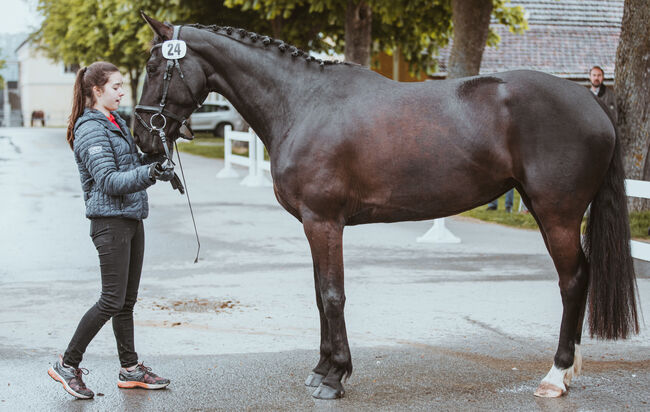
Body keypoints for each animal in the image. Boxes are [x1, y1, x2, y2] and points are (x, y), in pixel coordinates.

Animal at [133, 13, 636, 400]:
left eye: (156, 67)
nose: (142, 138)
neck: (302, 104)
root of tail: (590, 102)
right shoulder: (313, 226)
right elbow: (319, 294)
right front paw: (321, 369)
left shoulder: (324, 222)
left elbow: (332, 294)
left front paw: (335, 377)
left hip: (557, 214)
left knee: (573, 281)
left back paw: (556, 375)